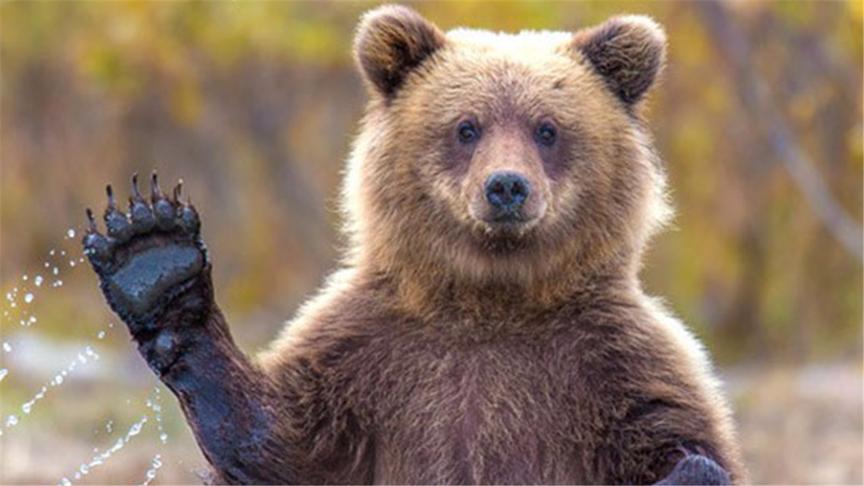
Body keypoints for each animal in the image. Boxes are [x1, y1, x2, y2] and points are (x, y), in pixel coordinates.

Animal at [82, 5, 745, 484]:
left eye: (548, 128)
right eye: (467, 127)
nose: (507, 187)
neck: (492, 298)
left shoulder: (616, 364)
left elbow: (681, 439)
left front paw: (691, 471)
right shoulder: (367, 354)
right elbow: (281, 443)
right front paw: (152, 254)